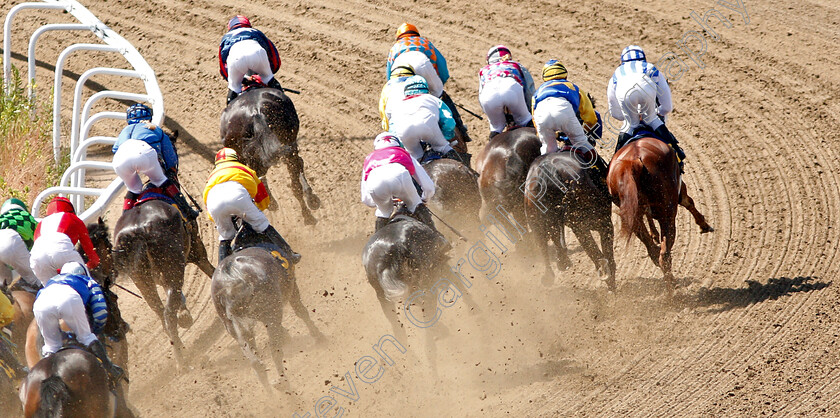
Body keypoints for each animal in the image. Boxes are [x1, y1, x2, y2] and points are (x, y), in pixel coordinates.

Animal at [112, 199, 213, 366]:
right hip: (173, 269)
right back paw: (181, 361)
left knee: (160, 312)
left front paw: (184, 314)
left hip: (143, 280)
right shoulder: (197, 252)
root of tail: (139, 229)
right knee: (169, 314)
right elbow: (212, 270)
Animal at [218, 87, 320, 225]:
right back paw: (307, 216)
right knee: (295, 183)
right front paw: (312, 199)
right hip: (287, 146)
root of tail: (255, 112)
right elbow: (300, 165)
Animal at [520, 152, 612, 290]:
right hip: (590, 222)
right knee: (600, 258)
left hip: (537, 222)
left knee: (543, 244)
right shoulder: (603, 223)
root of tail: (548, 171)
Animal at [608, 137, 712, 294]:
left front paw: (654, 233)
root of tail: (635, 161)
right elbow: (688, 201)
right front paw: (703, 224)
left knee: (653, 252)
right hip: (667, 215)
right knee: (664, 256)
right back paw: (672, 292)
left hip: (633, 218)